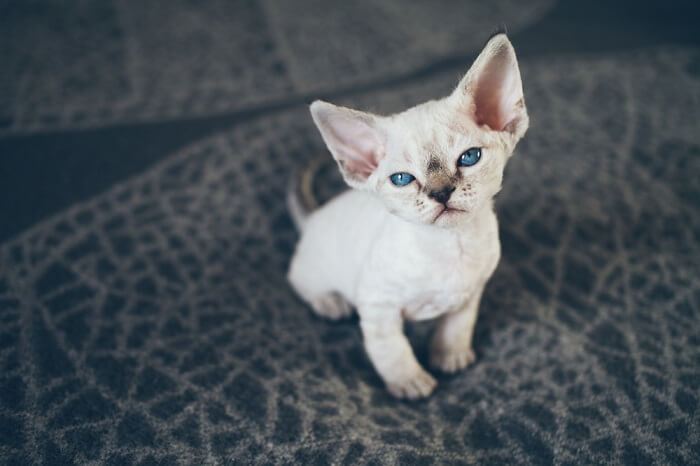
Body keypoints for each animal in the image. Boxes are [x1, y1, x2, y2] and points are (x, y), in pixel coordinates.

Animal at [288, 32, 528, 398]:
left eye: (469, 157)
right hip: (316, 271)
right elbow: (391, 350)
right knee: (298, 280)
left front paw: (450, 358)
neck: (451, 246)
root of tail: (315, 216)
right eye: (402, 179)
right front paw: (409, 382)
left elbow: (456, 328)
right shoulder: (378, 307)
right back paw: (330, 303)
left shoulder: (470, 296)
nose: (441, 192)